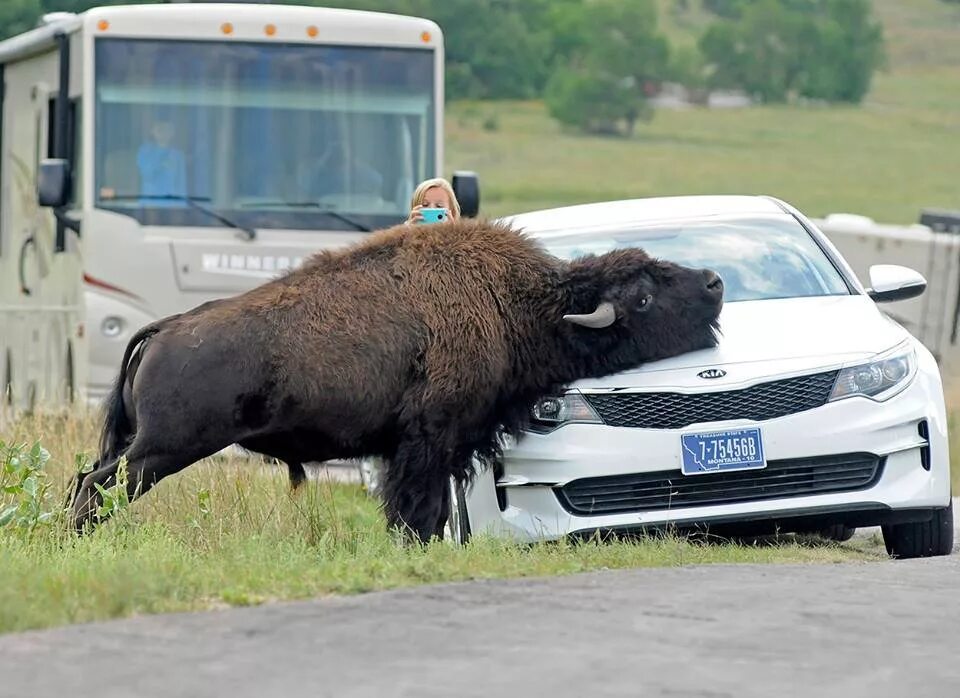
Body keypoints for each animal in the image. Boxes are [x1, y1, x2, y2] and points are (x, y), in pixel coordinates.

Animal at [73, 216, 720, 540]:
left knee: (92, 479)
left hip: (145, 446)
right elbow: (419, 506)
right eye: (642, 296)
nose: (714, 282)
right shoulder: (428, 442)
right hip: (163, 448)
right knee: (97, 484)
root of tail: (165, 328)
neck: (515, 303)